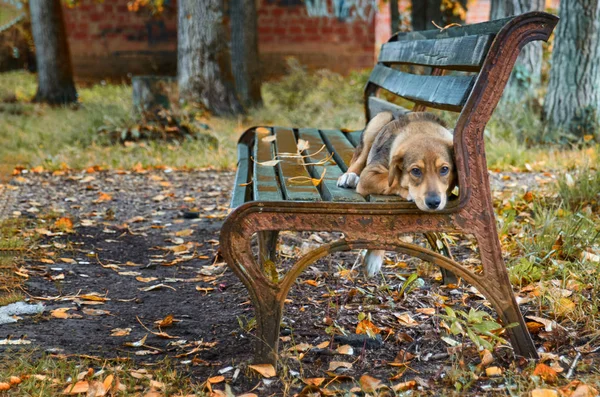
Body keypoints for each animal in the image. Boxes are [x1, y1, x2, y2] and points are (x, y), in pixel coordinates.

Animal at [336, 110, 458, 274]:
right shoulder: (368, 175)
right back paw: (349, 177)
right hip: (380, 119)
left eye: (444, 169)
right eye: (416, 171)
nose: (433, 202)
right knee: (359, 160)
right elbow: (393, 181)